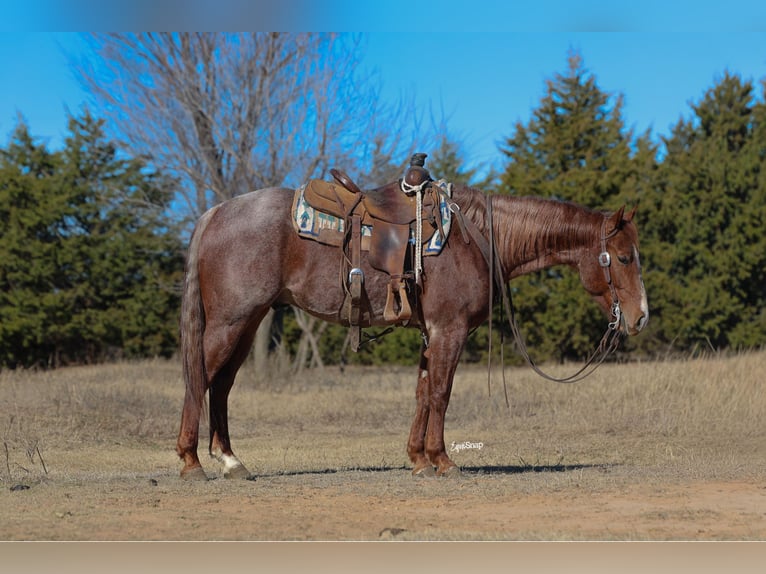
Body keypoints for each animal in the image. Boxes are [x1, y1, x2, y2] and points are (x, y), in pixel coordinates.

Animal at [175, 182, 648, 480]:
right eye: (625, 258)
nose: (640, 317)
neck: (478, 237)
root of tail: (216, 213)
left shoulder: (430, 333)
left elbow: (423, 392)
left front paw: (419, 460)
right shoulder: (449, 331)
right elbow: (440, 393)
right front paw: (443, 461)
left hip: (247, 322)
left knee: (221, 385)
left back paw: (231, 462)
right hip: (230, 321)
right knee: (199, 379)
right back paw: (191, 462)